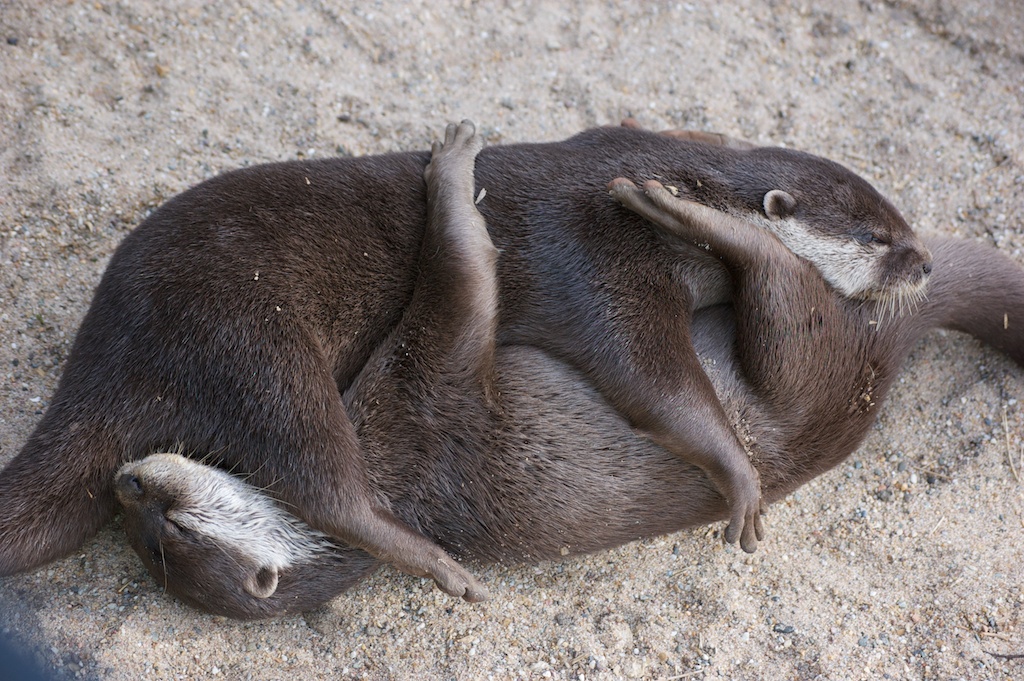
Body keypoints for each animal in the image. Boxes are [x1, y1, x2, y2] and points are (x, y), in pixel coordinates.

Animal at [0, 119, 942, 602]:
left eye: (900, 220)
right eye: (878, 239)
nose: (925, 264)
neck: (653, 172)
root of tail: (116, 337)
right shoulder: (597, 260)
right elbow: (650, 381)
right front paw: (739, 474)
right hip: (249, 336)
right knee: (316, 469)